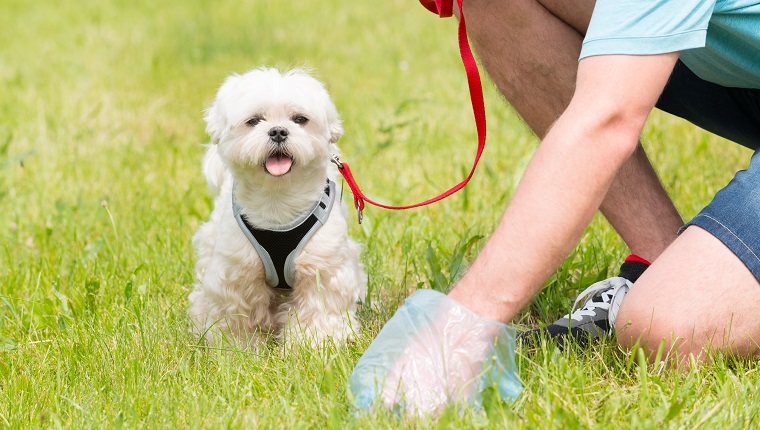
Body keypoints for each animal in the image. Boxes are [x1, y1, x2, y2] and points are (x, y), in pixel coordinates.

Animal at [189, 68, 368, 350]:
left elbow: (318, 310)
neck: (278, 202)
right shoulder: (236, 273)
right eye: (254, 121)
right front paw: (239, 349)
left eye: (300, 119)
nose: (278, 131)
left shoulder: (322, 267)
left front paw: (313, 345)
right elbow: (237, 315)